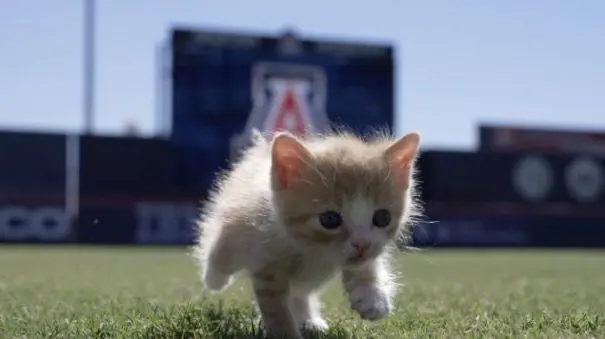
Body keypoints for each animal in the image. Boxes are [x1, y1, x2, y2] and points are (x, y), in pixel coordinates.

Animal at [193, 129, 420, 339]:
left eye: (382, 218)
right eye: (330, 219)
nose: (361, 244)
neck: (313, 250)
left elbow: (365, 264)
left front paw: (373, 297)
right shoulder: (266, 262)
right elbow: (276, 310)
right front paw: (286, 334)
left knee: (300, 291)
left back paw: (308, 320)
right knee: (223, 248)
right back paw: (213, 277)